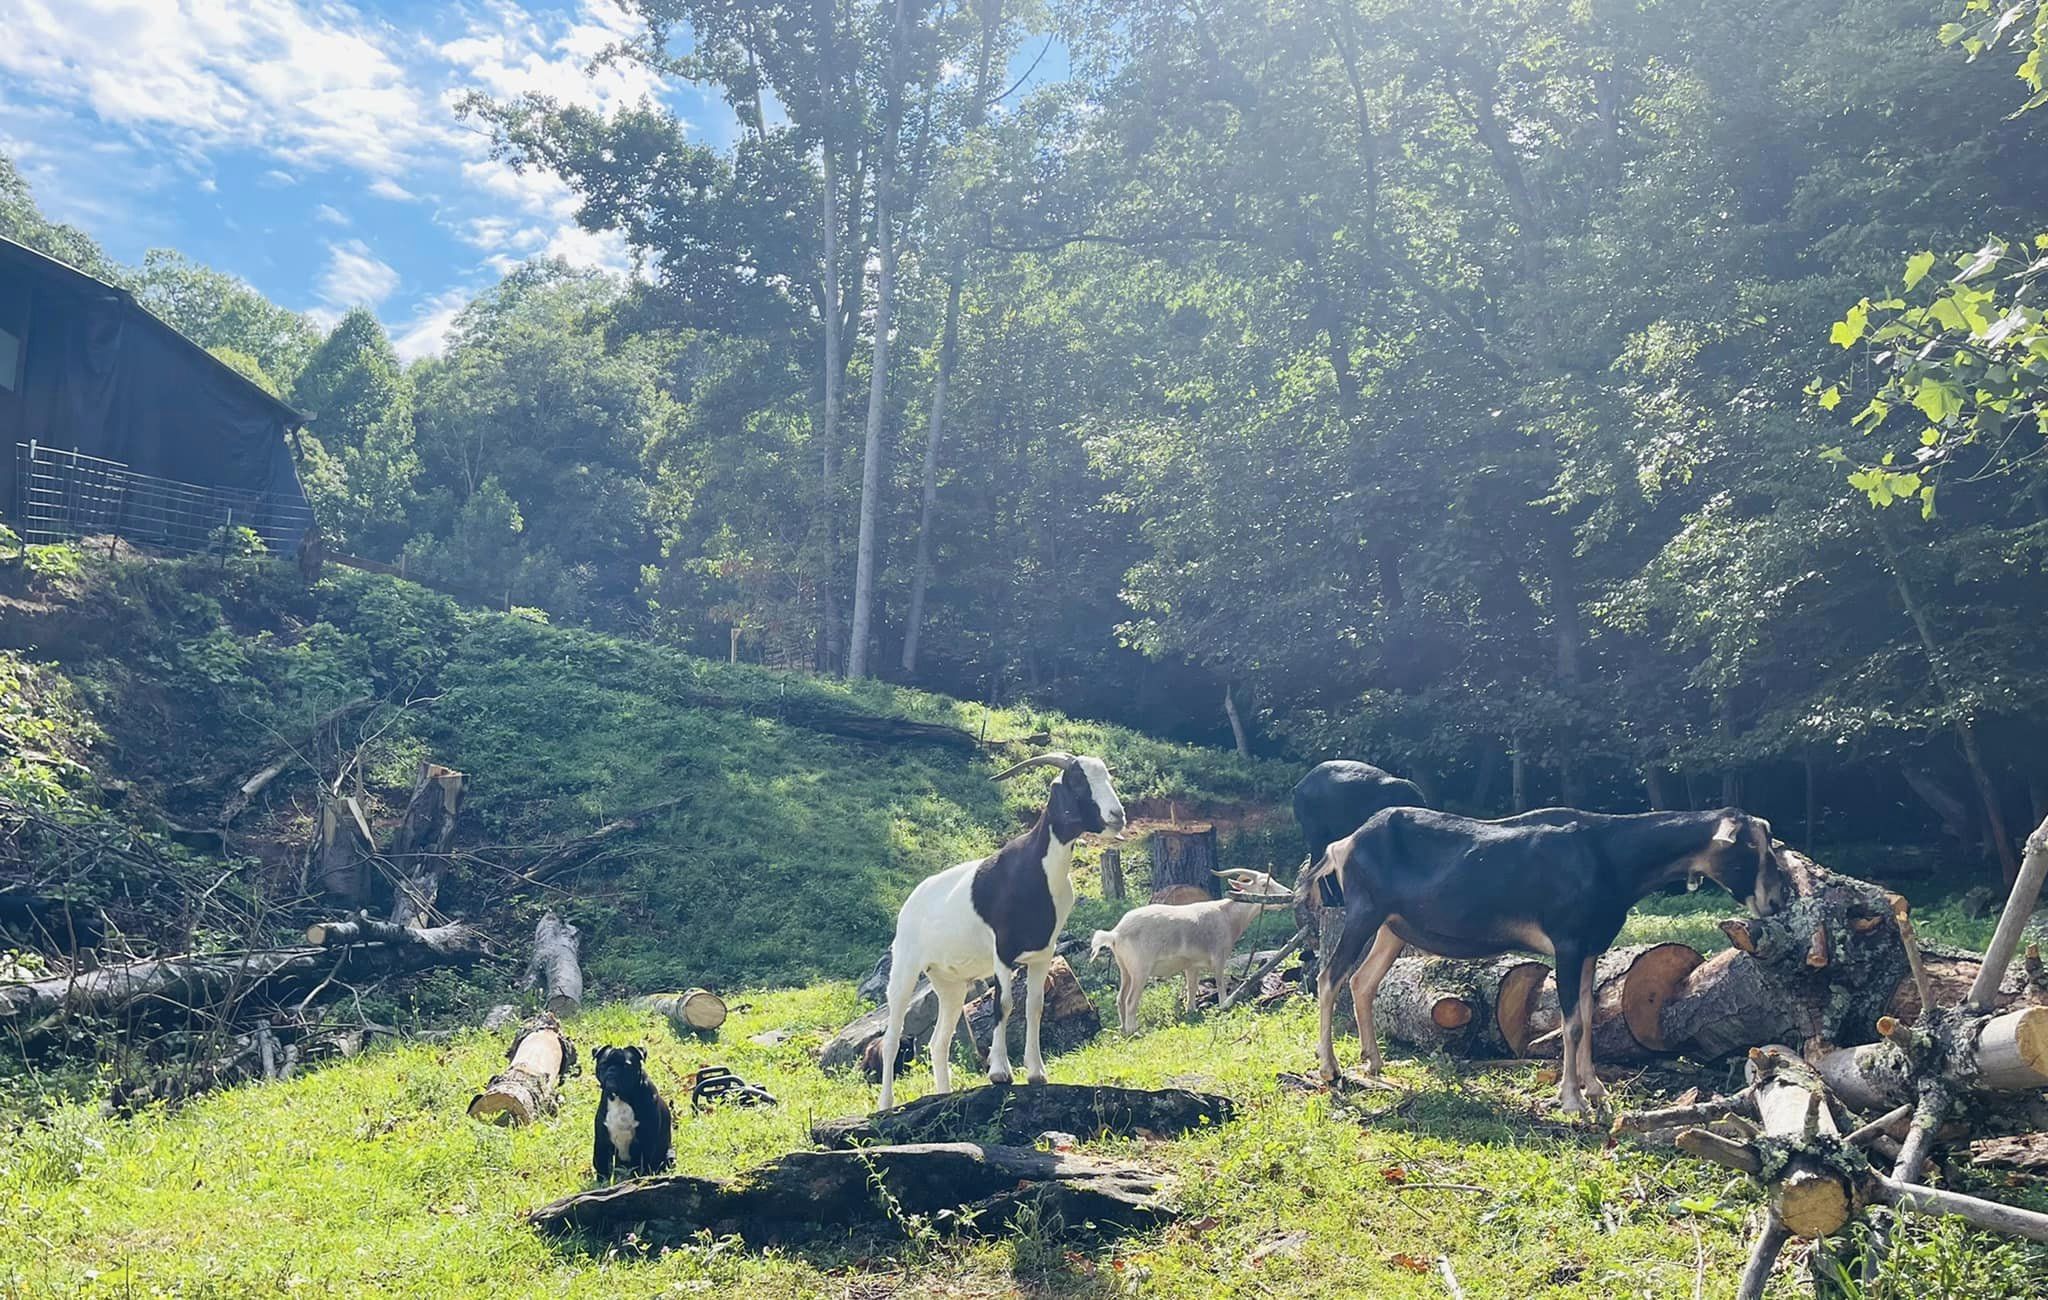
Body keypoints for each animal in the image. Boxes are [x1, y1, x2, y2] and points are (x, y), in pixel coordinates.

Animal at [877, 751, 1126, 1111]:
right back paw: (885, 1105)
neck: (1038, 868)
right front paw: (1000, 1072)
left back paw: (943, 1094)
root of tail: (911, 902)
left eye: (1106, 776)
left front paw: (1036, 1073)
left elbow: (1034, 1006)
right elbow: (1004, 1004)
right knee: (892, 1037)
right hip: (906, 966)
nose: (1118, 816)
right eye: (1079, 781)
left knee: (938, 1042)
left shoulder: (1043, 954)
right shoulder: (1003, 951)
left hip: (949, 983)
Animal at [1090, 869, 1287, 1032]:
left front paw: (1191, 1011)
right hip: (1140, 970)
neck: (1227, 916)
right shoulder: (1219, 957)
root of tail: (1115, 934)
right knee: (1130, 1000)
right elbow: (1221, 984)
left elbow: (1192, 988)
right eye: (1264, 885)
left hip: (1125, 970)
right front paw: (1224, 1006)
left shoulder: (1192, 965)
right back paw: (1134, 1032)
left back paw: (1123, 1030)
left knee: (1120, 998)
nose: (1289, 893)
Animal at [1311, 806, 1789, 1113]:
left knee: (1363, 982)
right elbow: (1571, 1023)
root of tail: (1344, 843)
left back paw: (1373, 1063)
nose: (1775, 901)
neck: (1610, 854)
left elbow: (1589, 1017)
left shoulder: (1592, 947)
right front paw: (1571, 1099)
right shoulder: (1568, 943)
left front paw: (1595, 1088)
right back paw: (1331, 1070)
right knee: (1329, 979)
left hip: (1392, 927)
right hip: (1364, 912)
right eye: (1750, 849)